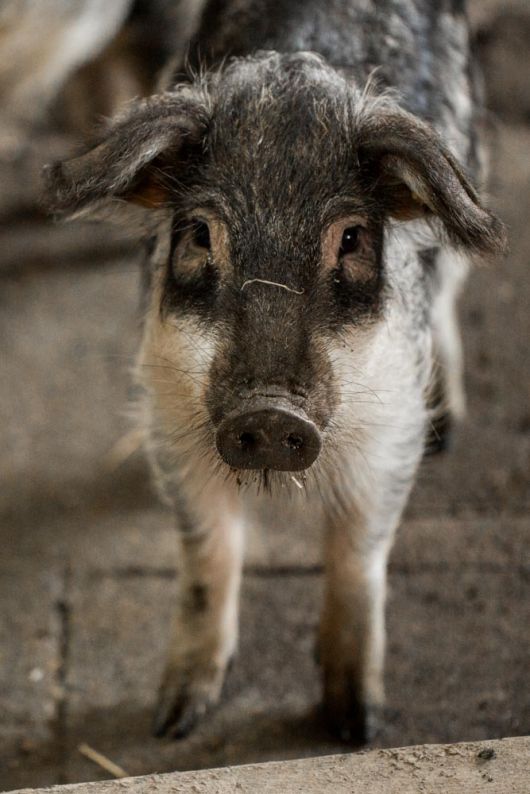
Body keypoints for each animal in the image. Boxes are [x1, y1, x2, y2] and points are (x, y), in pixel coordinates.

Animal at [44, 0, 504, 744]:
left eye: (352, 237)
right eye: (200, 233)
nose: (268, 412)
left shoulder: (391, 426)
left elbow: (358, 557)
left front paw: (356, 726)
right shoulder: (168, 413)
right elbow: (208, 554)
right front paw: (173, 720)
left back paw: (450, 432)